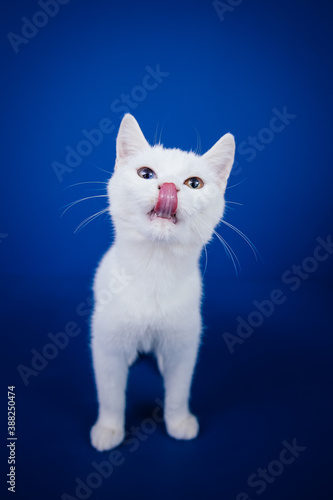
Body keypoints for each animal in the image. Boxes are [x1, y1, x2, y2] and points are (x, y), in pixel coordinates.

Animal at [88, 115, 233, 452]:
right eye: (145, 174)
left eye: (194, 183)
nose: (168, 187)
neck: (154, 271)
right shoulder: (106, 345)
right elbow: (110, 393)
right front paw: (108, 430)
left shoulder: (184, 342)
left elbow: (178, 390)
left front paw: (178, 423)